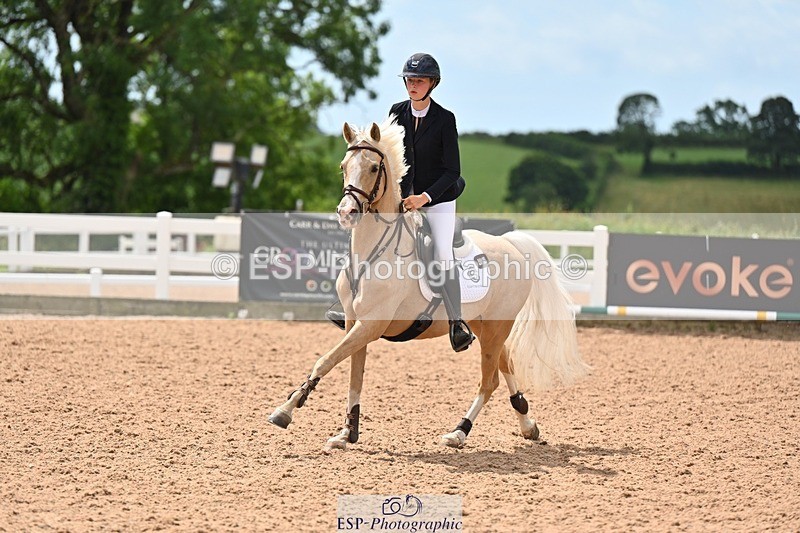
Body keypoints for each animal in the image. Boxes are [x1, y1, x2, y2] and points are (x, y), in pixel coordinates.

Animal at [268, 117, 589, 450]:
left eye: (374, 168)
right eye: (343, 166)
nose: (347, 213)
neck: (372, 253)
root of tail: (510, 243)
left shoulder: (371, 324)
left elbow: (325, 361)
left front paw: (285, 410)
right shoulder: (355, 323)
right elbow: (354, 376)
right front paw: (347, 433)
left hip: (497, 326)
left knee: (489, 381)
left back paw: (459, 432)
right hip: (487, 326)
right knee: (506, 364)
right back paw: (527, 424)